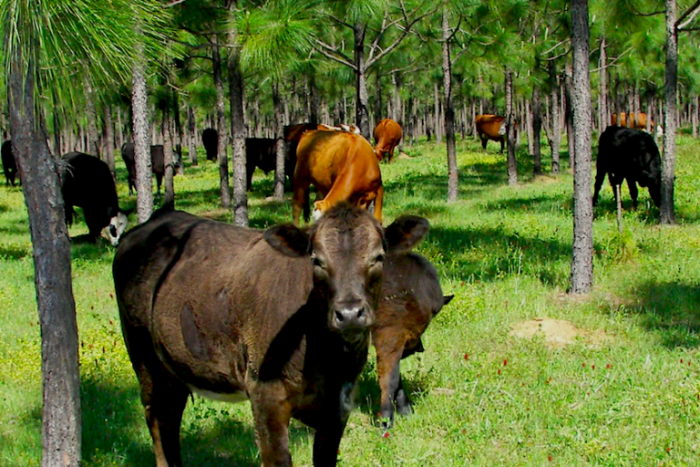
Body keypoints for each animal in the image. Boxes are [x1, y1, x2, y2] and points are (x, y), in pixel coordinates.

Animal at [113, 205, 430, 467]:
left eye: (378, 257)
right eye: (316, 260)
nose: (350, 313)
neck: (326, 358)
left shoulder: (339, 405)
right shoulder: (265, 394)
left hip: (174, 365)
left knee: (171, 414)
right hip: (144, 356)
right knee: (158, 417)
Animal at [372, 252, 454, 432]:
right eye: (424, 323)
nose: (420, 348)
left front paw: (405, 410)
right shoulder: (390, 335)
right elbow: (390, 379)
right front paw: (386, 420)